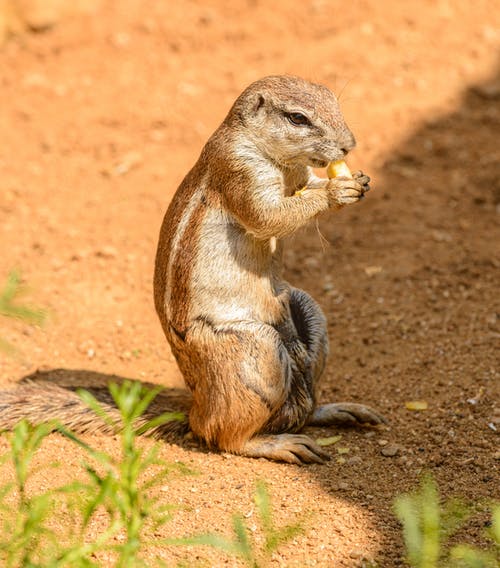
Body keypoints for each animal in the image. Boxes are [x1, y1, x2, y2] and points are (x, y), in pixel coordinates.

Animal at [0, 75, 382, 464]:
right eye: (297, 118)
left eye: (334, 100)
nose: (349, 145)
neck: (273, 156)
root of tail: (195, 404)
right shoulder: (240, 170)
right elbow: (268, 214)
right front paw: (337, 191)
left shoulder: (299, 174)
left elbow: (306, 188)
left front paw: (359, 181)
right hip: (252, 351)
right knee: (221, 434)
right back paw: (281, 444)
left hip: (307, 311)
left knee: (300, 405)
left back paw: (336, 410)